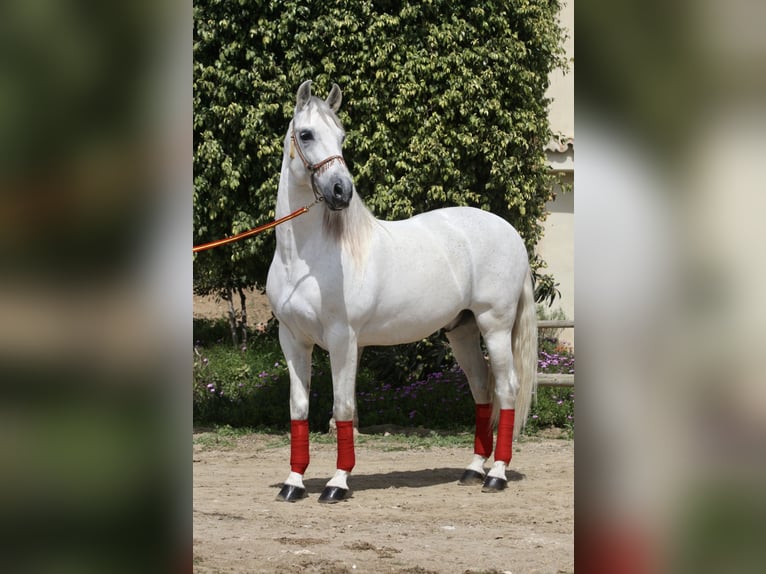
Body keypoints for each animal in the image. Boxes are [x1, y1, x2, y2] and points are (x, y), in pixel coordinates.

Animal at [268, 81, 536, 504]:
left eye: (342, 136)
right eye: (306, 134)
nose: (341, 191)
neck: (304, 259)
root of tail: (509, 231)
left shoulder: (343, 339)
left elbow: (343, 407)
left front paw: (337, 483)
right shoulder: (292, 339)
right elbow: (298, 408)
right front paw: (293, 483)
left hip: (494, 325)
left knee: (506, 389)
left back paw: (496, 475)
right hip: (462, 330)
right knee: (482, 388)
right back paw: (473, 469)